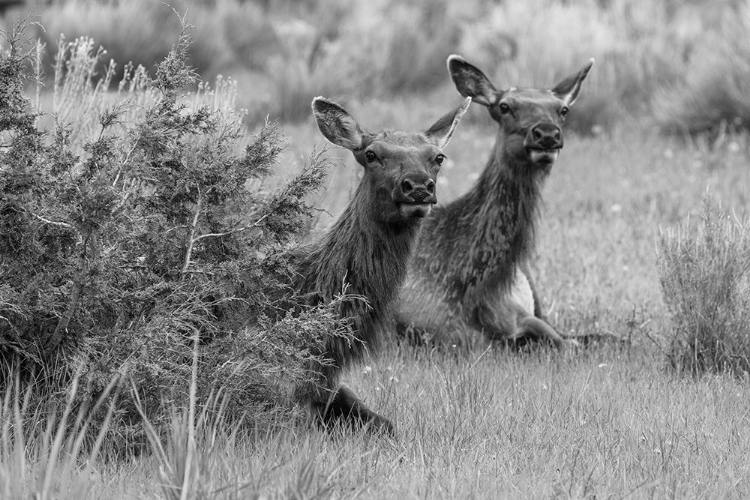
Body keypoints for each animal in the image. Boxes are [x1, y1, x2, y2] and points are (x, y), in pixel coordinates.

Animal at [396, 55, 596, 348]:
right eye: (504, 106)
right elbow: (567, 345)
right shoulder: (473, 335)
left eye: (563, 110)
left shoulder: (533, 316)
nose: (547, 133)